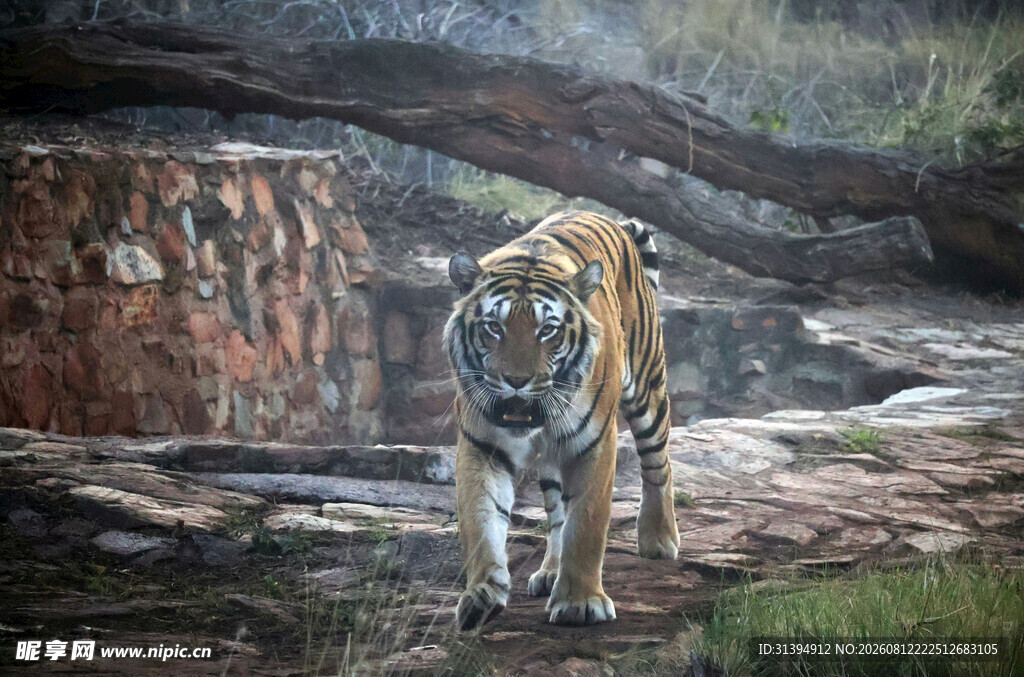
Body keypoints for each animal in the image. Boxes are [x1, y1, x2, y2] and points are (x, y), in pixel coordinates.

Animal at [444, 210, 680, 630]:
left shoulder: (596, 444)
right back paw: (551, 570)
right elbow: (481, 520)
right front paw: (481, 594)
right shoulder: (481, 446)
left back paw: (659, 539)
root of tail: (612, 220)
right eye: (493, 327)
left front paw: (579, 603)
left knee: (659, 464)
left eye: (548, 330)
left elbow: (586, 523)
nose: (516, 381)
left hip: (648, 389)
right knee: (556, 513)